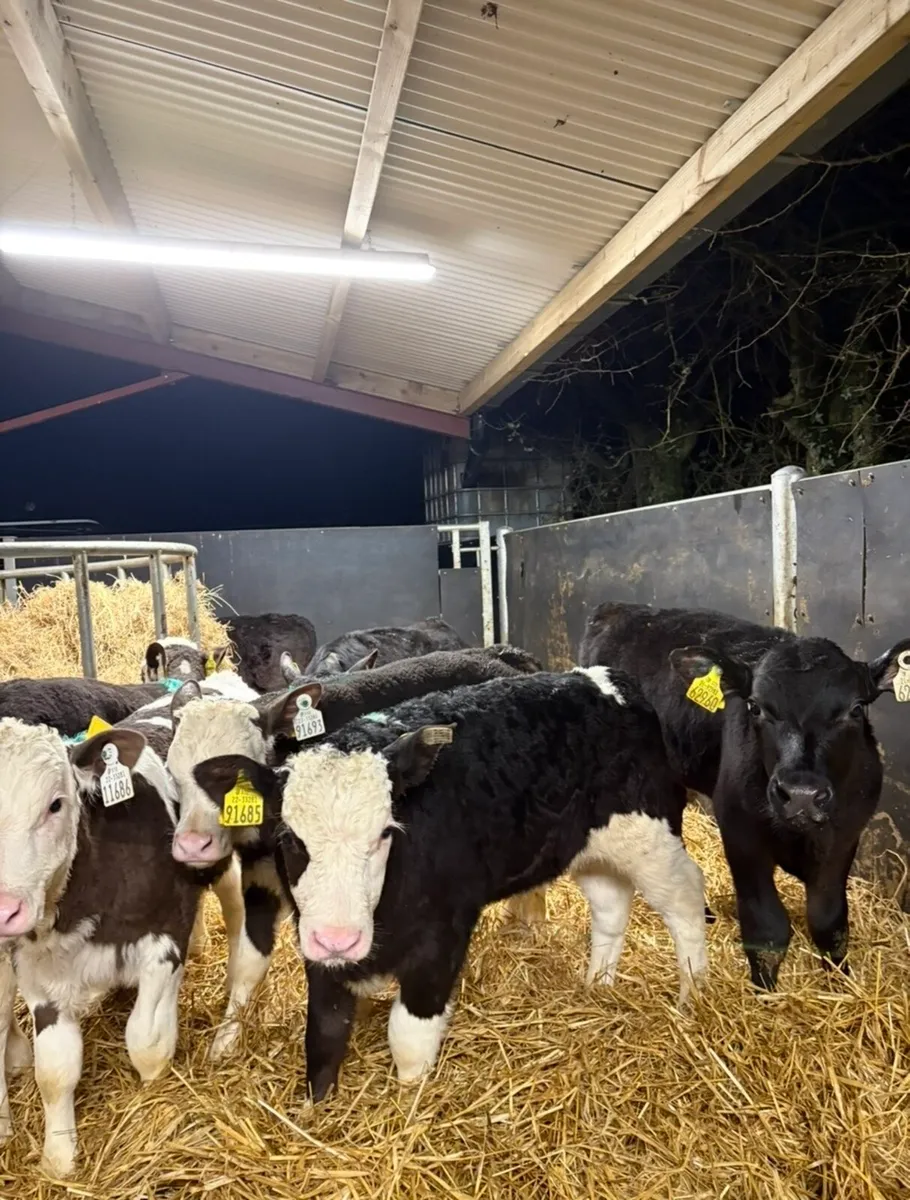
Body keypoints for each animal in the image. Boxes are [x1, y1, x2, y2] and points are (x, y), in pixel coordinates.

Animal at [193, 668, 708, 1100]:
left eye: (384, 833)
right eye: (289, 837)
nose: (339, 937)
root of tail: (608, 680)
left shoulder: (442, 936)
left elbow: (408, 1036)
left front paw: (409, 1108)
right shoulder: (320, 948)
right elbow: (323, 1035)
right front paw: (316, 1112)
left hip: (651, 836)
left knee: (686, 899)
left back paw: (694, 998)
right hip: (591, 848)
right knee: (610, 907)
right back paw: (598, 986)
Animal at [579, 601, 910, 988]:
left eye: (856, 709)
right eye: (755, 707)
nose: (800, 794)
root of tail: (619, 608)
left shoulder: (844, 836)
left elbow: (829, 922)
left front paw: (841, 982)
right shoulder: (741, 835)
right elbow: (766, 927)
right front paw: (765, 990)